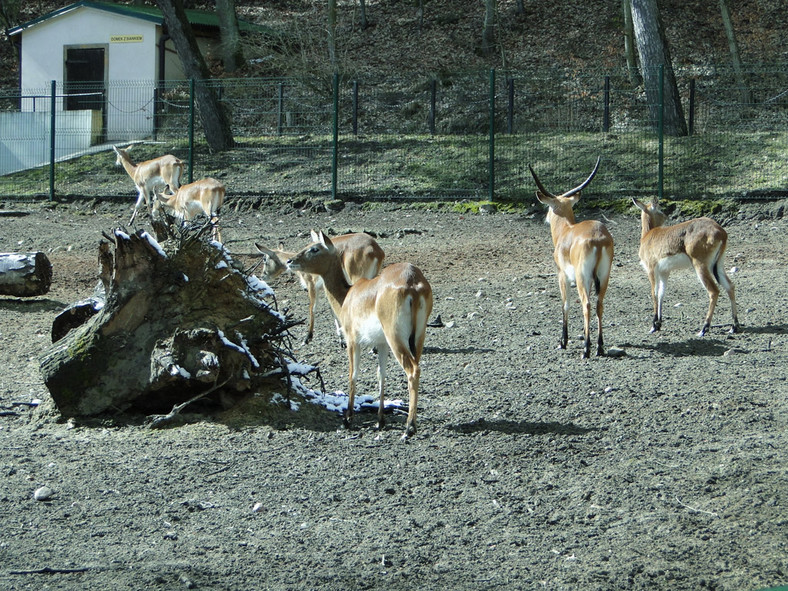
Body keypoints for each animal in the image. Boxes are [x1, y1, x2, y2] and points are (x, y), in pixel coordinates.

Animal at [255, 230, 384, 344]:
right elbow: (332, 310)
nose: (262, 276)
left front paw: (307, 337)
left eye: (264, 259)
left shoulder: (311, 286)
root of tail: (375, 249)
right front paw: (340, 338)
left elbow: (312, 308)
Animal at [290, 231, 434, 440]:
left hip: (396, 339)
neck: (348, 295)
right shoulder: (381, 344)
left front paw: (348, 419)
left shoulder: (352, 340)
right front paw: (380, 420)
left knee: (413, 371)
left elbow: (353, 373)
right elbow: (381, 374)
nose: (291, 261)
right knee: (417, 367)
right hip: (417, 338)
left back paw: (409, 428)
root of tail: (412, 283)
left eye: (314, 248)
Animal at [528, 157, 616, 358]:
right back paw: (599, 347)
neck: (566, 231)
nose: (545, 217)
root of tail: (599, 238)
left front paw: (563, 341)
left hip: (582, 277)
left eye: (549, 207)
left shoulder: (562, 275)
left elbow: (565, 304)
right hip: (603, 277)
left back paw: (586, 349)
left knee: (587, 304)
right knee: (599, 304)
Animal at [636, 199, 740, 338]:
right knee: (730, 286)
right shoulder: (664, 272)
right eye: (661, 209)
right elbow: (661, 293)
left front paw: (653, 326)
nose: (666, 217)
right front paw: (658, 324)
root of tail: (721, 232)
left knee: (714, 291)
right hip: (717, 266)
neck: (648, 235)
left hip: (700, 266)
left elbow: (654, 293)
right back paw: (734, 327)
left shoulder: (651, 270)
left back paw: (704, 329)